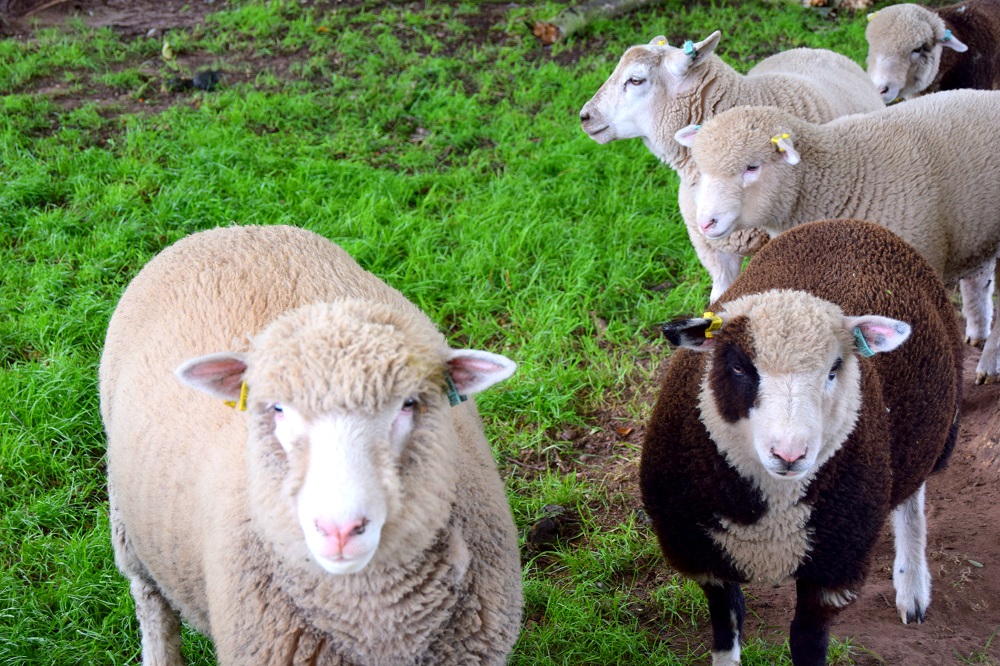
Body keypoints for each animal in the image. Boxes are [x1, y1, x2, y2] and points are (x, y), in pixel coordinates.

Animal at [98, 224, 523, 665]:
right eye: (277, 409)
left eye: (409, 403)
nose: (339, 529)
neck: (376, 626)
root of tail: (233, 230)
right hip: (128, 527)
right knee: (151, 603)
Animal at [641, 218, 962, 666]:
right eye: (739, 367)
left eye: (834, 369)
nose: (789, 454)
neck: (772, 511)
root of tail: (848, 223)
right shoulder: (704, 556)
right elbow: (725, 628)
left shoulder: (833, 569)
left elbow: (808, 643)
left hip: (933, 431)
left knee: (911, 499)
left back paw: (912, 586)